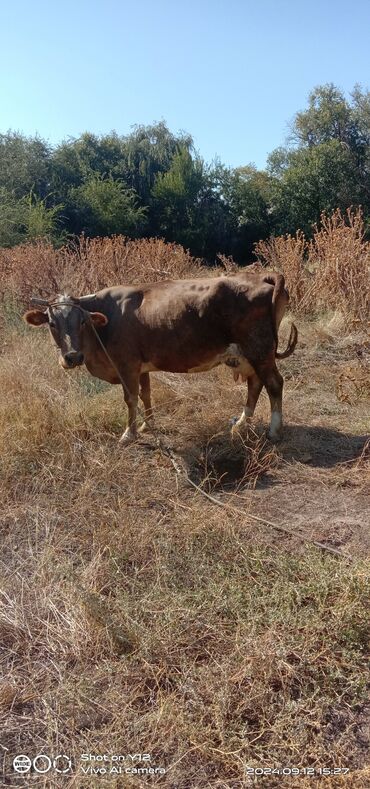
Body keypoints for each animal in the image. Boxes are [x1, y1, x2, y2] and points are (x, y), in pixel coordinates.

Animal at [23, 270, 298, 444]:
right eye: (52, 323)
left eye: (82, 322)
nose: (72, 357)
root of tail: (262, 276)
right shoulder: (141, 367)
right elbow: (146, 394)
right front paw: (148, 425)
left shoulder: (126, 365)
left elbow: (131, 398)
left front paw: (129, 434)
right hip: (248, 356)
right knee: (255, 384)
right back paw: (241, 423)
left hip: (259, 350)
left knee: (274, 384)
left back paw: (274, 431)